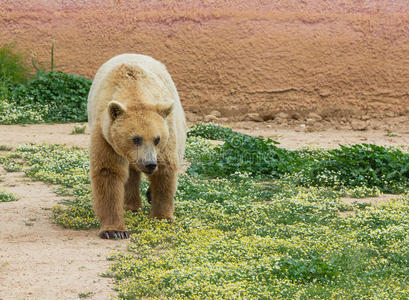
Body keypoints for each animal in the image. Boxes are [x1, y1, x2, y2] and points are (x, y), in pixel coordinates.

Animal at [88, 54, 187, 239]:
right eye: (136, 139)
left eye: (157, 139)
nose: (150, 164)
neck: (134, 89)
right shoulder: (105, 135)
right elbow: (108, 172)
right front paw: (114, 230)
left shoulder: (166, 127)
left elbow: (166, 169)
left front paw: (162, 217)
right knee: (130, 174)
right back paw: (132, 206)